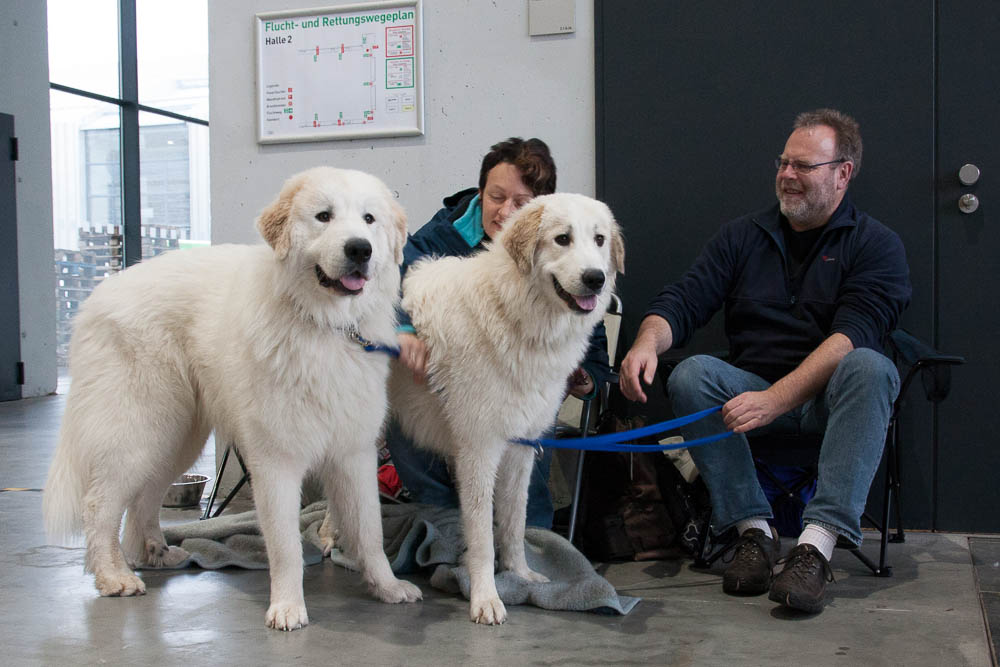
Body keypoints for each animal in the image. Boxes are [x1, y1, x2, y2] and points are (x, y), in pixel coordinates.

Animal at [44, 166, 422, 632]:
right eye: (324, 216)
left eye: (369, 219)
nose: (359, 249)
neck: (323, 326)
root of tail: (96, 297)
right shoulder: (275, 462)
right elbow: (286, 546)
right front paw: (287, 608)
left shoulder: (354, 453)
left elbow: (369, 532)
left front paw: (387, 587)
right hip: (140, 431)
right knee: (100, 504)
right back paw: (114, 576)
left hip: (175, 438)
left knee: (144, 497)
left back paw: (154, 552)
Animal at [386, 193, 620, 628]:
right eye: (563, 239)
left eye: (599, 239)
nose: (596, 278)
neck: (514, 315)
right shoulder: (478, 452)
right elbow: (482, 535)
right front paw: (486, 598)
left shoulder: (520, 450)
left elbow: (514, 522)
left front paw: (520, 574)